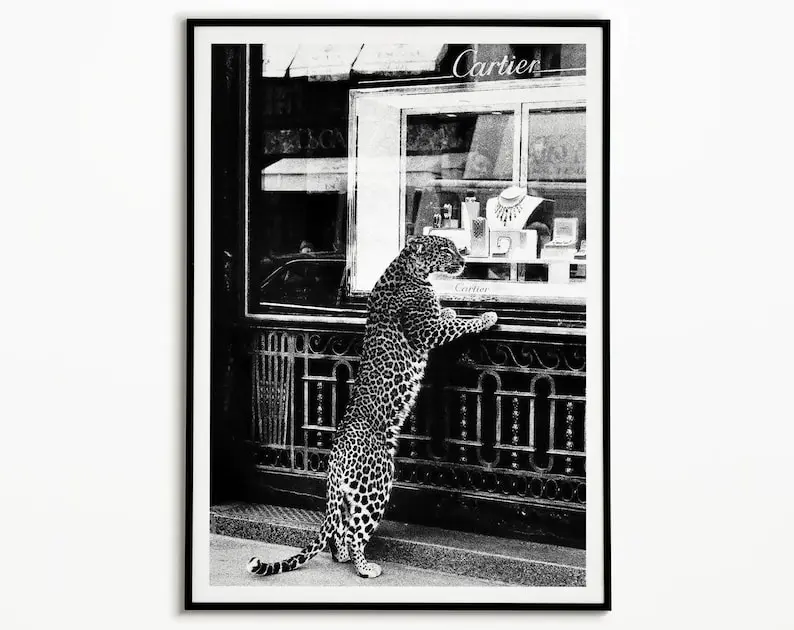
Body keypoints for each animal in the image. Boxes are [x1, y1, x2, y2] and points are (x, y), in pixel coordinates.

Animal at [247, 235, 497, 579]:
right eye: (447, 250)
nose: (464, 261)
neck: (409, 268)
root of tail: (336, 457)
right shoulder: (426, 331)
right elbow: (459, 326)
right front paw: (485, 318)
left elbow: (446, 317)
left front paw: (447, 309)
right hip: (375, 486)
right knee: (355, 531)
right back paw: (365, 567)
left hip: (347, 495)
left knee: (339, 528)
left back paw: (342, 557)